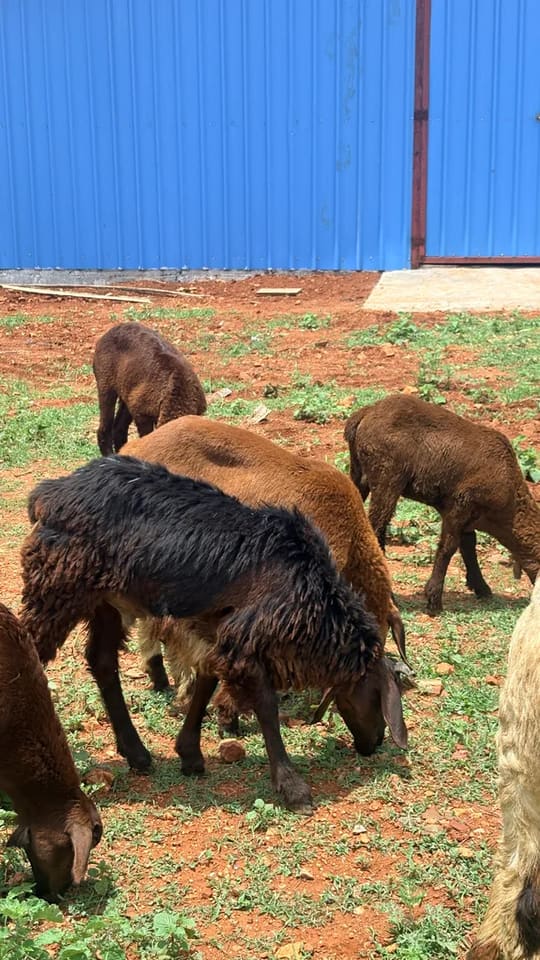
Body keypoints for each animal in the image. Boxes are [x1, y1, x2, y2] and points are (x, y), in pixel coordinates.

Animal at [20, 455, 408, 813]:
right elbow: (265, 706)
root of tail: (49, 493)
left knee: (101, 661)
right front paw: (292, 786)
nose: (374, 743)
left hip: (106, 601)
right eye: (376, 696)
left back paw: (136, 753)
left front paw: (189, 754)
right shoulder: (245, 642)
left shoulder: (218, 633)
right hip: (58, 584)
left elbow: (206, 682)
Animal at [92, 322, 207, 455]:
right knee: (106, 426)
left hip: (128, 391)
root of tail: (107, 334)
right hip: (105, 382)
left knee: (119, 428)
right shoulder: (142, 413)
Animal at [345, 394, 540, 614]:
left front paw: (481, 588)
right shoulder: (459, 506)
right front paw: (434, 600)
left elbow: (468, 546)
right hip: (387, 477)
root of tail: (366, 413)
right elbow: (448, 548)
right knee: (376, 529)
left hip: (359, 473)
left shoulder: (468, 517)